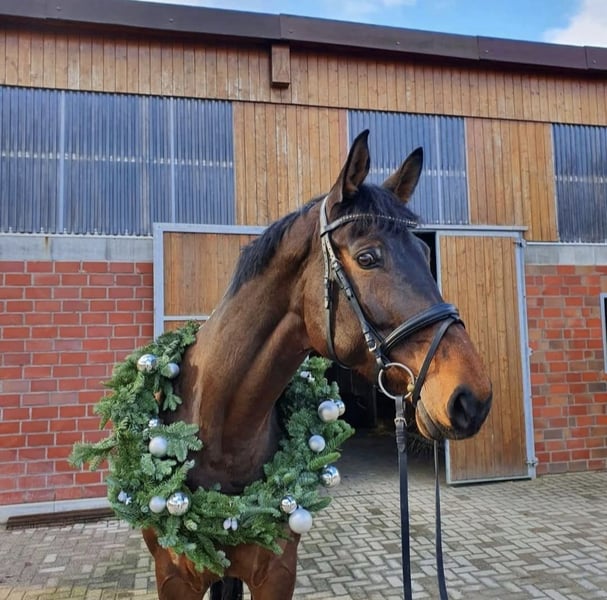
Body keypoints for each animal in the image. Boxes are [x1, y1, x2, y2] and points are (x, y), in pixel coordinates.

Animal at [142, 130, 493, 599]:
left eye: (424, 250)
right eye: (367, 258)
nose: (472, 398)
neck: (219, 431)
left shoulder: (276, 572)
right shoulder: (175, 578)